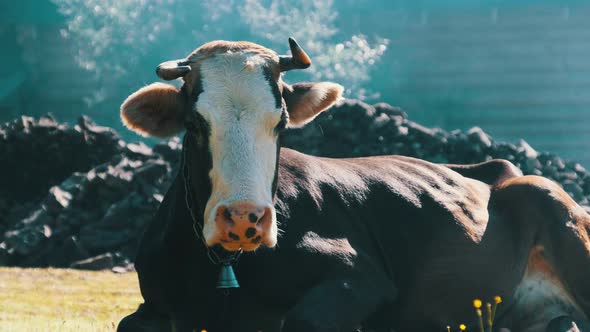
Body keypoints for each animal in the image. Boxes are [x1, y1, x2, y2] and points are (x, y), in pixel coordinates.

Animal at [115, 37, 590, 330]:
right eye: (195, 124)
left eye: (281, 122)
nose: (245, 218)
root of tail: (499, 169)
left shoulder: (362, 278)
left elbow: (304, 319)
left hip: (556, 207)